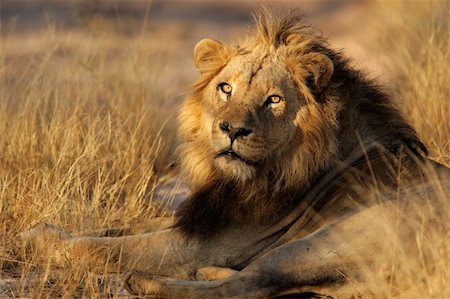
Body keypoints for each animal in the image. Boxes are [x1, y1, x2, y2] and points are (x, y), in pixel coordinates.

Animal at [16, 9, 446, 299]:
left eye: (274, 100)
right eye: (226, 88)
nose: (232, 130)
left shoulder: (214, 242)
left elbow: (108, 248)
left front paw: (35, 238)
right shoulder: (198, 218)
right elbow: (122, 228)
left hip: (347, 229)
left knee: (251, 283)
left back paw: (147, 281)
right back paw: (208, 273)